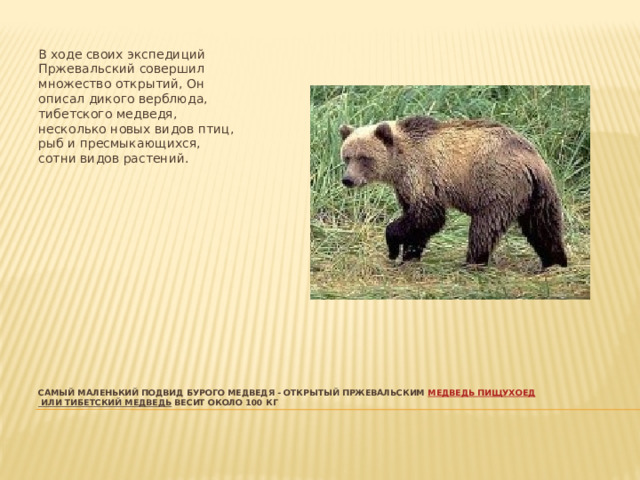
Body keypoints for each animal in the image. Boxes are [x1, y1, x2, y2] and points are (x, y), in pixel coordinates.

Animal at [339, 116, 568, 269]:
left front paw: (394, 248)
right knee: (544, 226)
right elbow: (416, 220)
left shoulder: (423, 175)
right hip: (540, 193)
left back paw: (473, 263)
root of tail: (532, 160)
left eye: (364, 157)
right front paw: (410, 255)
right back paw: (555, 262)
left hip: (497, 187)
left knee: (484, 227)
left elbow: (428, 216)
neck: (400, 164)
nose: (348, 179)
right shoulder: (405, 187)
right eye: (347, 156)